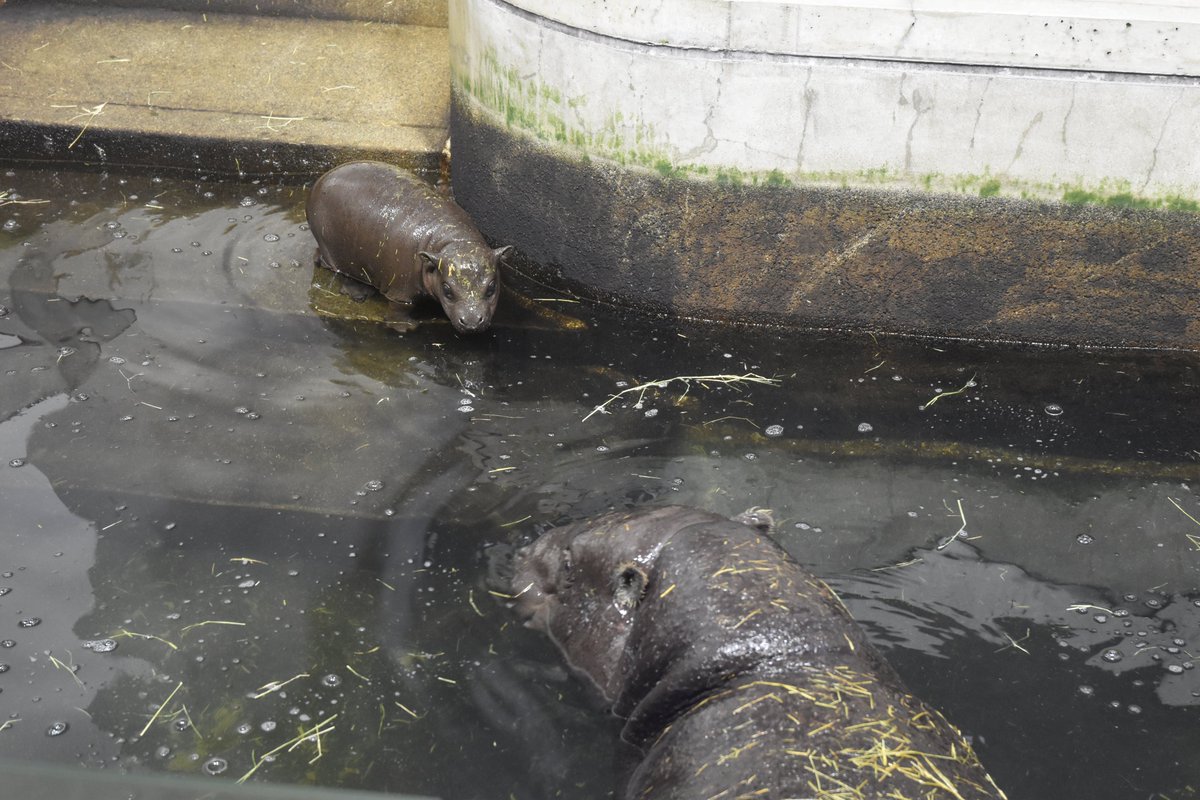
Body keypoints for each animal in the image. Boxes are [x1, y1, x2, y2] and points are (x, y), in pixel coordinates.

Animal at [304, 159, 511, 335]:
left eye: (492, 287)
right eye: (447, 290)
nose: (472, 322)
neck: (452, 241)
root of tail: (320, 180)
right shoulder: (401, 288)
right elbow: (401, 307)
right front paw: (407, 327)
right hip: (333, 249)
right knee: (333, 266)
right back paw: (359, 293)